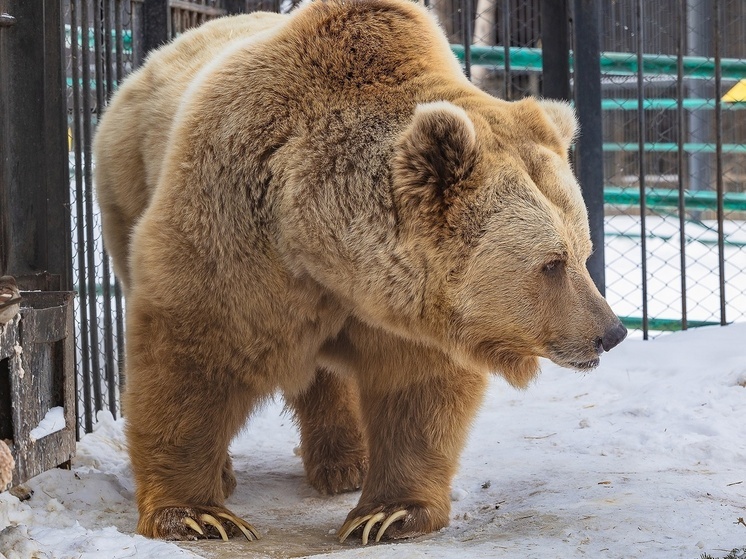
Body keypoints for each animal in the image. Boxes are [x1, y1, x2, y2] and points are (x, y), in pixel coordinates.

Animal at [96, 0, 624, 548]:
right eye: (552, 263)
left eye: (583, 251)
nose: (610, 332)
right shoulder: (234, 229)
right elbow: (191, 357)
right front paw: (196, 514)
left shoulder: (410, 307)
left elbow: (416, 393)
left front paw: (389, 512)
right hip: (126, 183)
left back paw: (345, 463)